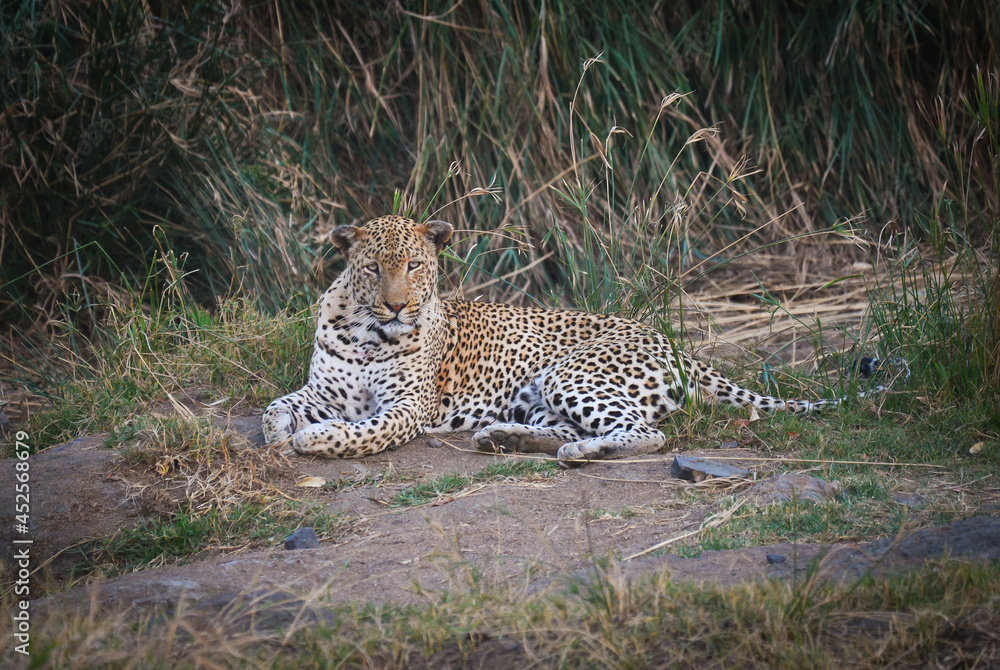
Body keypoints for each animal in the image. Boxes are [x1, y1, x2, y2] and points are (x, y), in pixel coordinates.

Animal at [263, 215, 897, 464]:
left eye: (416, 266)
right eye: (373, 268)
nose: (398, 306)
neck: (365, 331)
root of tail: (671, 341)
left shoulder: (406, 408)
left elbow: (363, 431)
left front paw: (317, 441)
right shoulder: (325, 389)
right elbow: (277, 406)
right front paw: (278, 434)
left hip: (574, 373)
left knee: (645, 435)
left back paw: (580, 453)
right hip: (542, 394)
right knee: (580, 427)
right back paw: (505, 438)